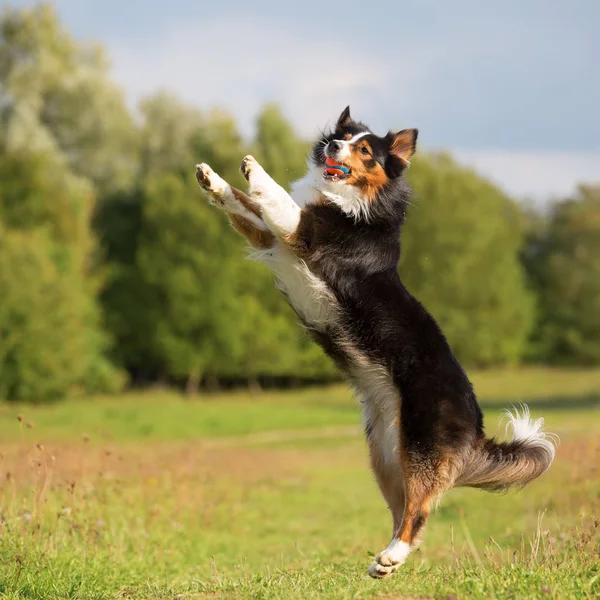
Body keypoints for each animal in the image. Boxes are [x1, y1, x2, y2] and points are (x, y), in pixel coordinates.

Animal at [197, 106, 556, 576]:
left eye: (365, 150)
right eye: (343, 137)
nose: (333, 146)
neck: (353, 197)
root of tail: (476, 423)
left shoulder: (301, 231)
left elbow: (273, 196)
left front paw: (253, 167)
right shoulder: (272, 237)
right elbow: (243, 203)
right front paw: (213, 180)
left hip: (420, 446)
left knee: (421, 509)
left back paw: (392, 555)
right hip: (386, 454)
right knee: (404, 508)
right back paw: (386, 561)